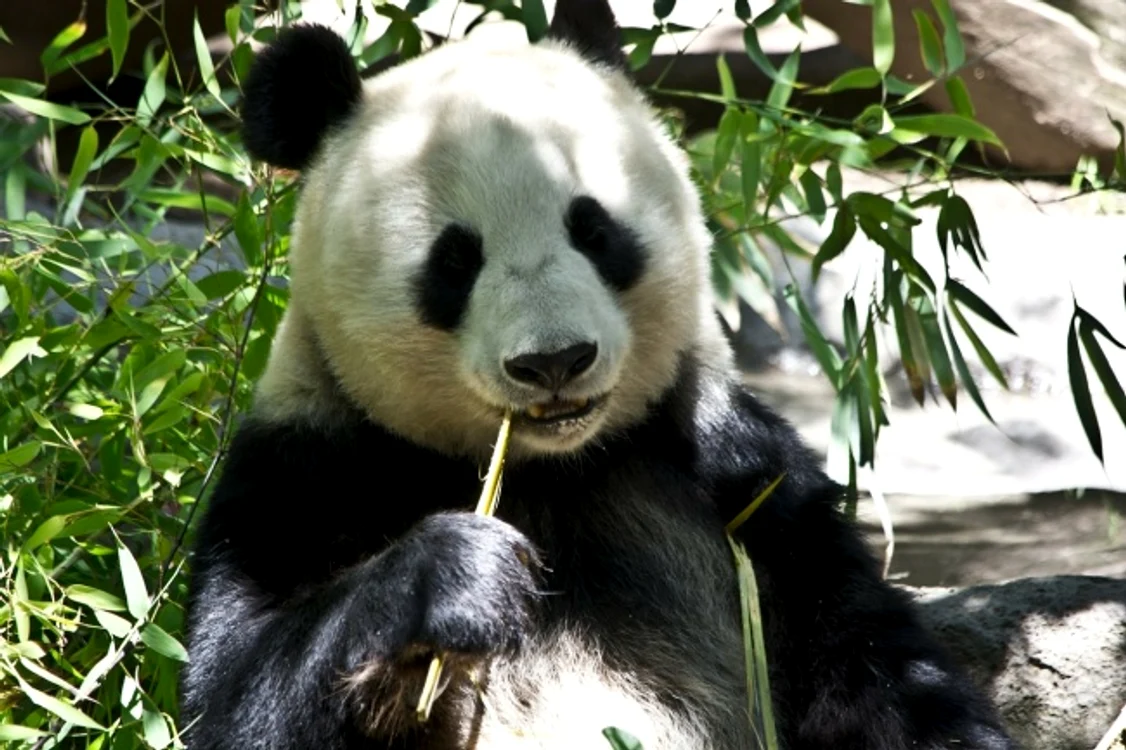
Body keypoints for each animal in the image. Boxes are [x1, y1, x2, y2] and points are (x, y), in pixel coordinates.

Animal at [180, 2, 1018, 749]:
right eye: (454, 261)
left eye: (594, 229)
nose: (554, 360)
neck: (550, 470)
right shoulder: (308, 469)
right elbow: (232, 696)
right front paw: (455, 576)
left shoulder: (740, 477)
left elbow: (876, 672)